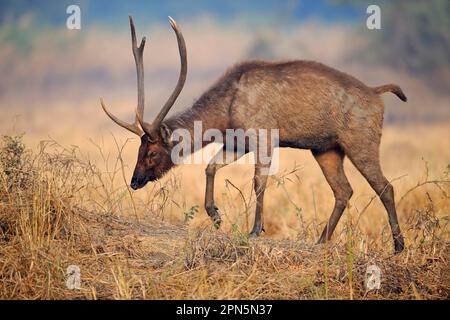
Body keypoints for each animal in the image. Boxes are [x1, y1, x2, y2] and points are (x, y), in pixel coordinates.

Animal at [101, 16, 408, 252]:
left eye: (152, 152)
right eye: (139, 149)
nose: (134, 181)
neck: (226, 110)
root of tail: (377, 94)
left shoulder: (264, 137)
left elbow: (259, 181)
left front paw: (255, 229)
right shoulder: (238, 142)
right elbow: (211, 166)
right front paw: (216, 216)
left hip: (361, 140)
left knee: (385, 187)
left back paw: (398, 245)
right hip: (326, 149)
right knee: (344, 190)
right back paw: (321, 240)